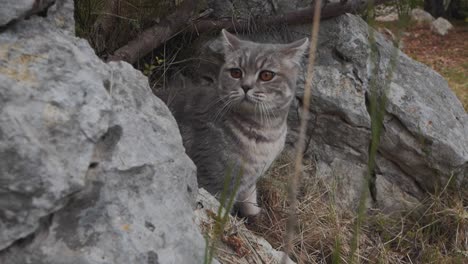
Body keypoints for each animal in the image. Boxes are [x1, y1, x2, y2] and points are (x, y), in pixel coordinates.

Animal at [167, 29, 308, 217]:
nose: (246, 86)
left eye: (266, 75)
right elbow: (221, 212)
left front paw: (254, 212)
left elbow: (250, 196)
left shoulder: (250, 180)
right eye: (236, 72)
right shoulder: (215, 182)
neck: (267, 134)